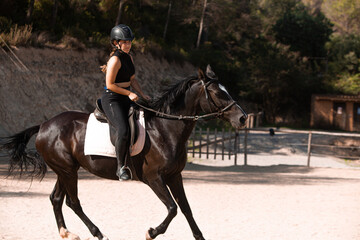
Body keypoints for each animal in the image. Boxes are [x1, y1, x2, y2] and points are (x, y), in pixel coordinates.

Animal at [0, 64, 246, 239]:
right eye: (218, 93)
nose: (243, 118)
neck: (165, 128)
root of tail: (44, 125)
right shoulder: (153, 178)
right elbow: (172, 208)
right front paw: (151, 232)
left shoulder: (175, 176)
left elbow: (186, 208)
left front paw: (199, 236)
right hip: (67, 171)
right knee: (73, 202)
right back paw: (98, 233)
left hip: (66, 170)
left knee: (57, 198)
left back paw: (67, 233)